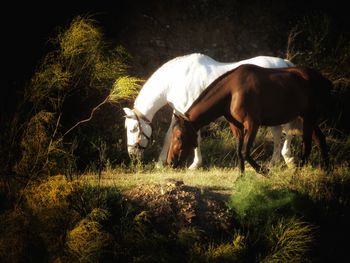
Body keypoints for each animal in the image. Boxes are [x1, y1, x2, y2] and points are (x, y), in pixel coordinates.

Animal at [123, 53, 298, 169]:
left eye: (133, 129)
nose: (131, 154)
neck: (176, 80)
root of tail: (284, 64)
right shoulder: (179, 114)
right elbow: (168, 136)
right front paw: (160, 163)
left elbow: (197, 139)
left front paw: (195, 165)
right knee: (277, 133)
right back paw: (275, 162)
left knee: (288, 130)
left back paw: (288, 158)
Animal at [167, 64, 330, 175]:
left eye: (179, 137)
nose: (170, 161)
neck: (232, 91)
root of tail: (320, 79)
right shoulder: (237, 126)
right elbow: (239, 152)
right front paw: (241, 176)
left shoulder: (252, 124)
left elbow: (245, 152)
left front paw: (264, 171)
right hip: (307, 119)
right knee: (320, 140)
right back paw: (326, 172)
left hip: (308, 118)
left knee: (307, 147)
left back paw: (295, 176)